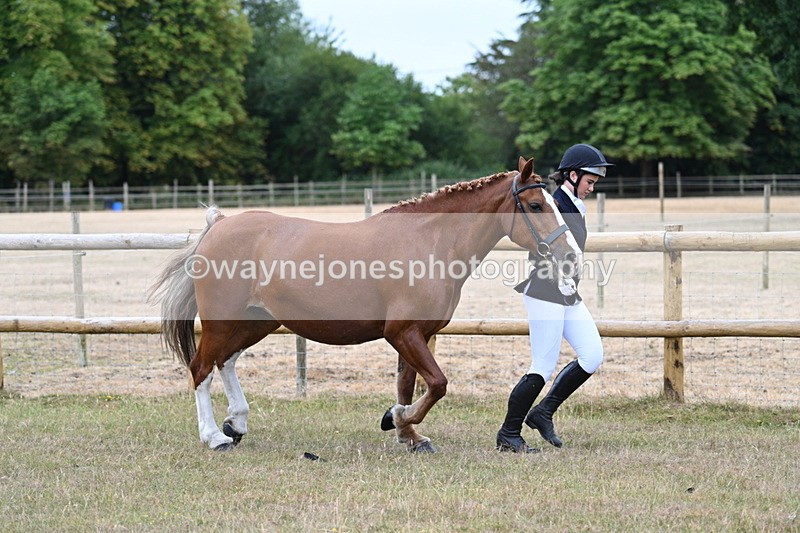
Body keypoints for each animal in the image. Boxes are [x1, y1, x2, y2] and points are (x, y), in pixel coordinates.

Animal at [150, 157, 581, 452]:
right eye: (537, 206)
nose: (571, 256)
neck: (430, 242)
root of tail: (220, 225)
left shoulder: (416, 335)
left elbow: (410, 385)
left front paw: (409, 434)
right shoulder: (403, 333)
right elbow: (437, 384)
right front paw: (397, 419)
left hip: (256, 322)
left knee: (226, 362)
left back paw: (236, 424)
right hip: (224, 321)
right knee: (201, 368)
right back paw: (214, 436)